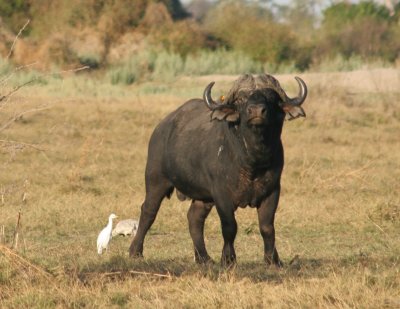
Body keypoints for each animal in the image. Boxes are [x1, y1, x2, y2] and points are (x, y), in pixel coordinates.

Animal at [130, 74, 308, 264]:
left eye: (271, 97)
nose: (256, 111)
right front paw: (228, 259)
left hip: (203, 197)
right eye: (241, 99)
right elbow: (230, 227)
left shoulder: (272, 190)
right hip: (156, 179)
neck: (252, 160)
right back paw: (135, 251)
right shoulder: (222, 194)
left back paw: (203, 258)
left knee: (194, 218)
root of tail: (160, 128)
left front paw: (273, 260)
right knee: (148, 211)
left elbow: (267, 227)